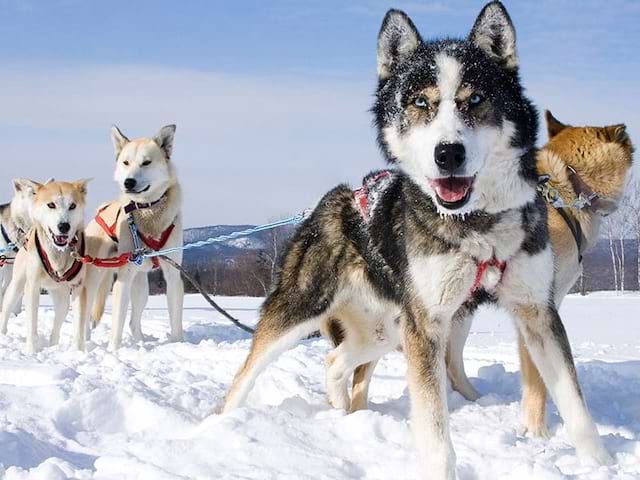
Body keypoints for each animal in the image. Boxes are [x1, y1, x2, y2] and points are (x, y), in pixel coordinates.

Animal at [0, 180, 90, 352]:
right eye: (51, 205)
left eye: (72, 206)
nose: (64, 226)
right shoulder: (32, 286)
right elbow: (31, 323)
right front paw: (31, 351)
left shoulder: (78, 288)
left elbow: (78, 326)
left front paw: (79, 351)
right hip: (16, 285)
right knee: (6, 308)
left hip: (63, 300)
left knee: (56, 328)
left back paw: (53, 346)